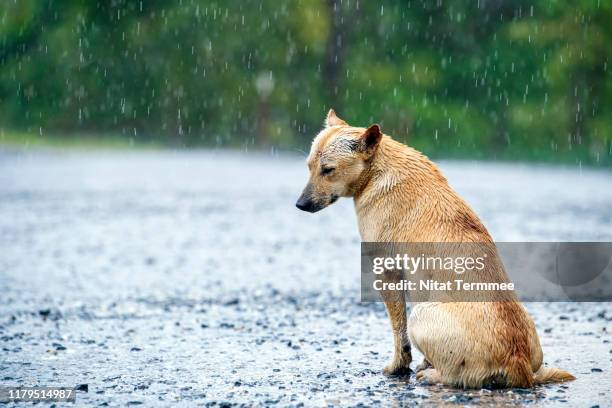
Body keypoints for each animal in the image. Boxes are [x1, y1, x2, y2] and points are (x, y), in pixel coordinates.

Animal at [296, 109, 572, 388]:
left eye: (328, 170)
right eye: (308, 166)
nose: (300, 204)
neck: (378, 170)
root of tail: (518, 361)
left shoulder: (387, 273)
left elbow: (399, 331)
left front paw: (398, 367)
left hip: (421, 315)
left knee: (453, 376)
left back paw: (429, 375)